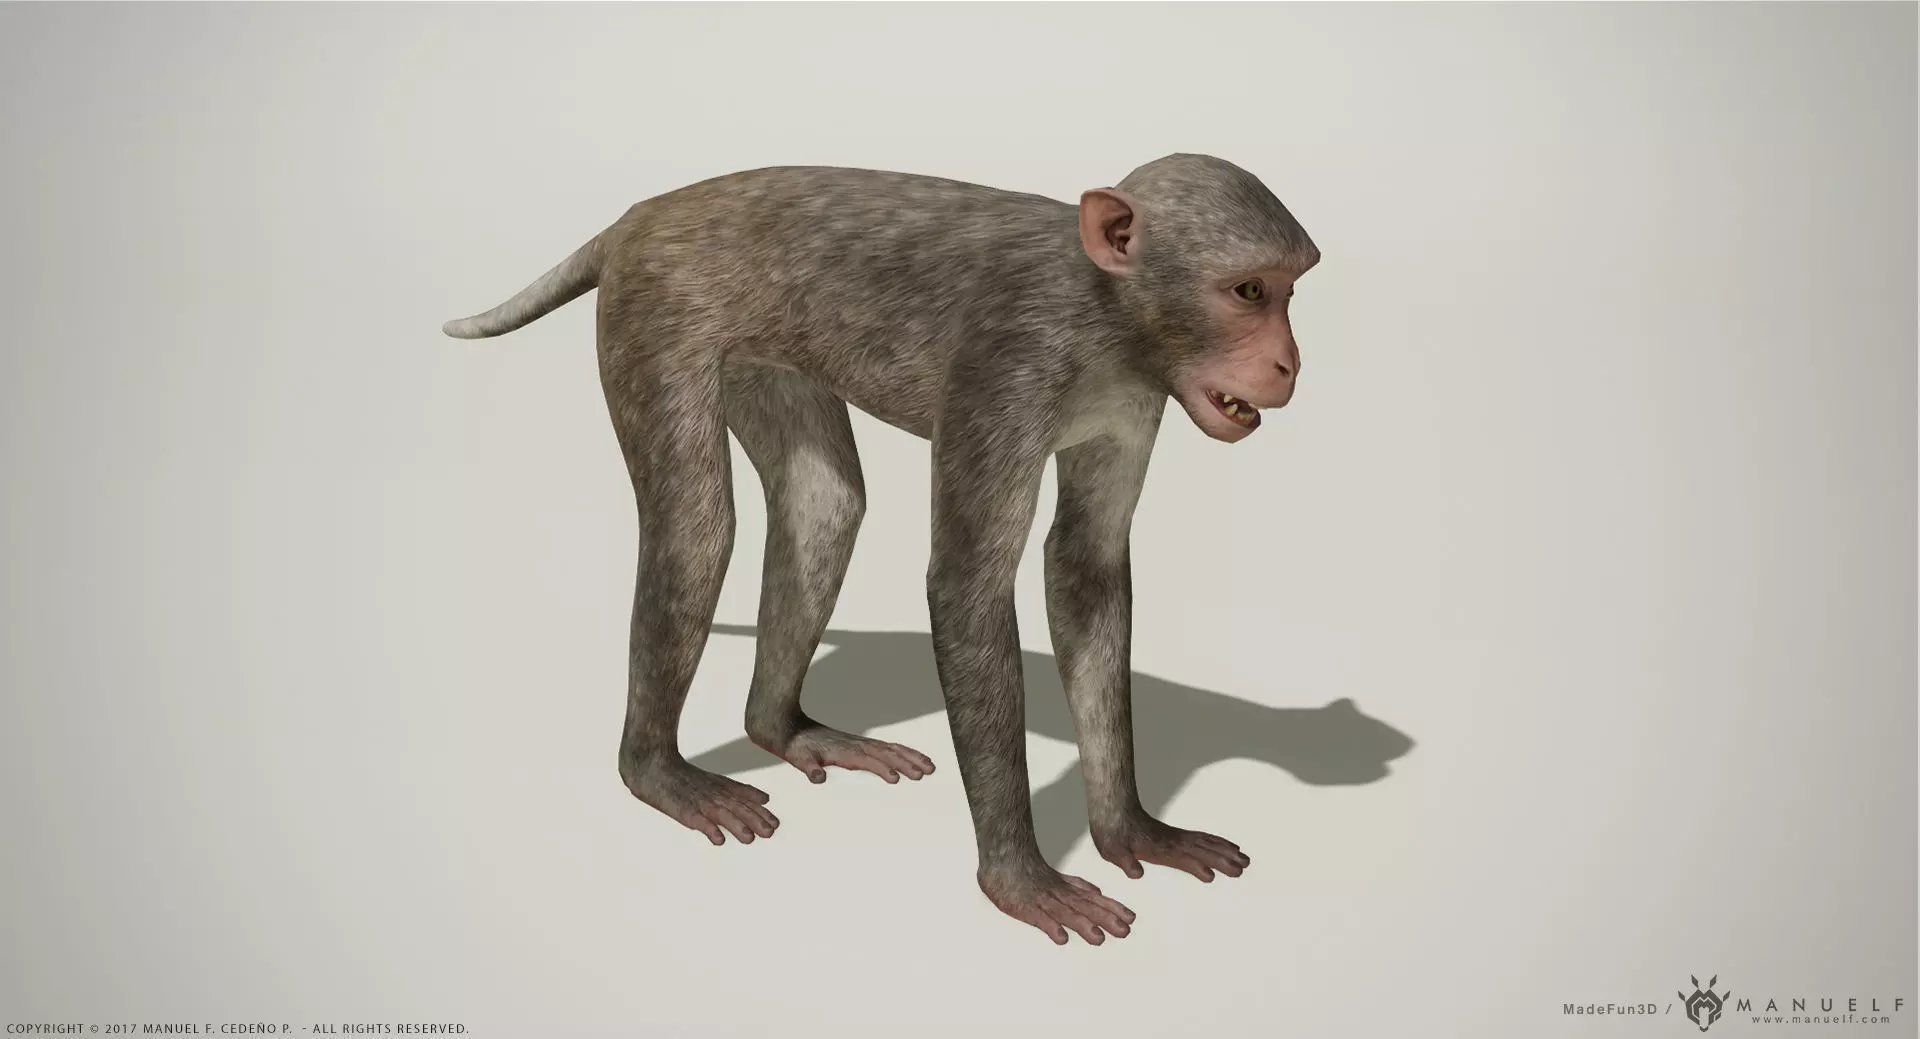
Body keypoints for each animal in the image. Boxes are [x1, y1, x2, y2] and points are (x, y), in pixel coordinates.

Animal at [442, 154, 1317, 945]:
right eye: (1249, 291)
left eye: (1288, 290)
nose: (1290, 364)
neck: (1106, 313)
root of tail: (645, 212)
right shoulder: (1008, 370)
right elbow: (966, 584)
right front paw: (1018, 879)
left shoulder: (1135, 402)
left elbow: (1085, 572)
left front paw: (1129, 829)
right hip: (656, 305)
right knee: (696, 526)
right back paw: (656, 771)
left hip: (759, 351)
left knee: (823, 505)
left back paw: (779, 728)